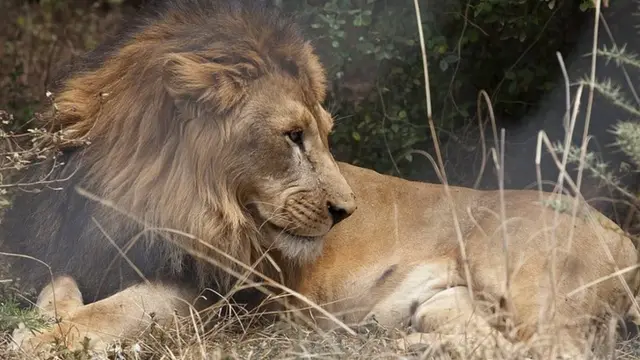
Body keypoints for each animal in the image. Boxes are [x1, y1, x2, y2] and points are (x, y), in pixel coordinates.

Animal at [2, 0, 358, 354]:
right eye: (294, 135)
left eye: (325, 134)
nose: (346, 212)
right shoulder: (64, 250)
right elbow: (58, 285)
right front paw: (40, 324)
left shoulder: (205, 290)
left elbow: (120, 308)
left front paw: (44, 340)